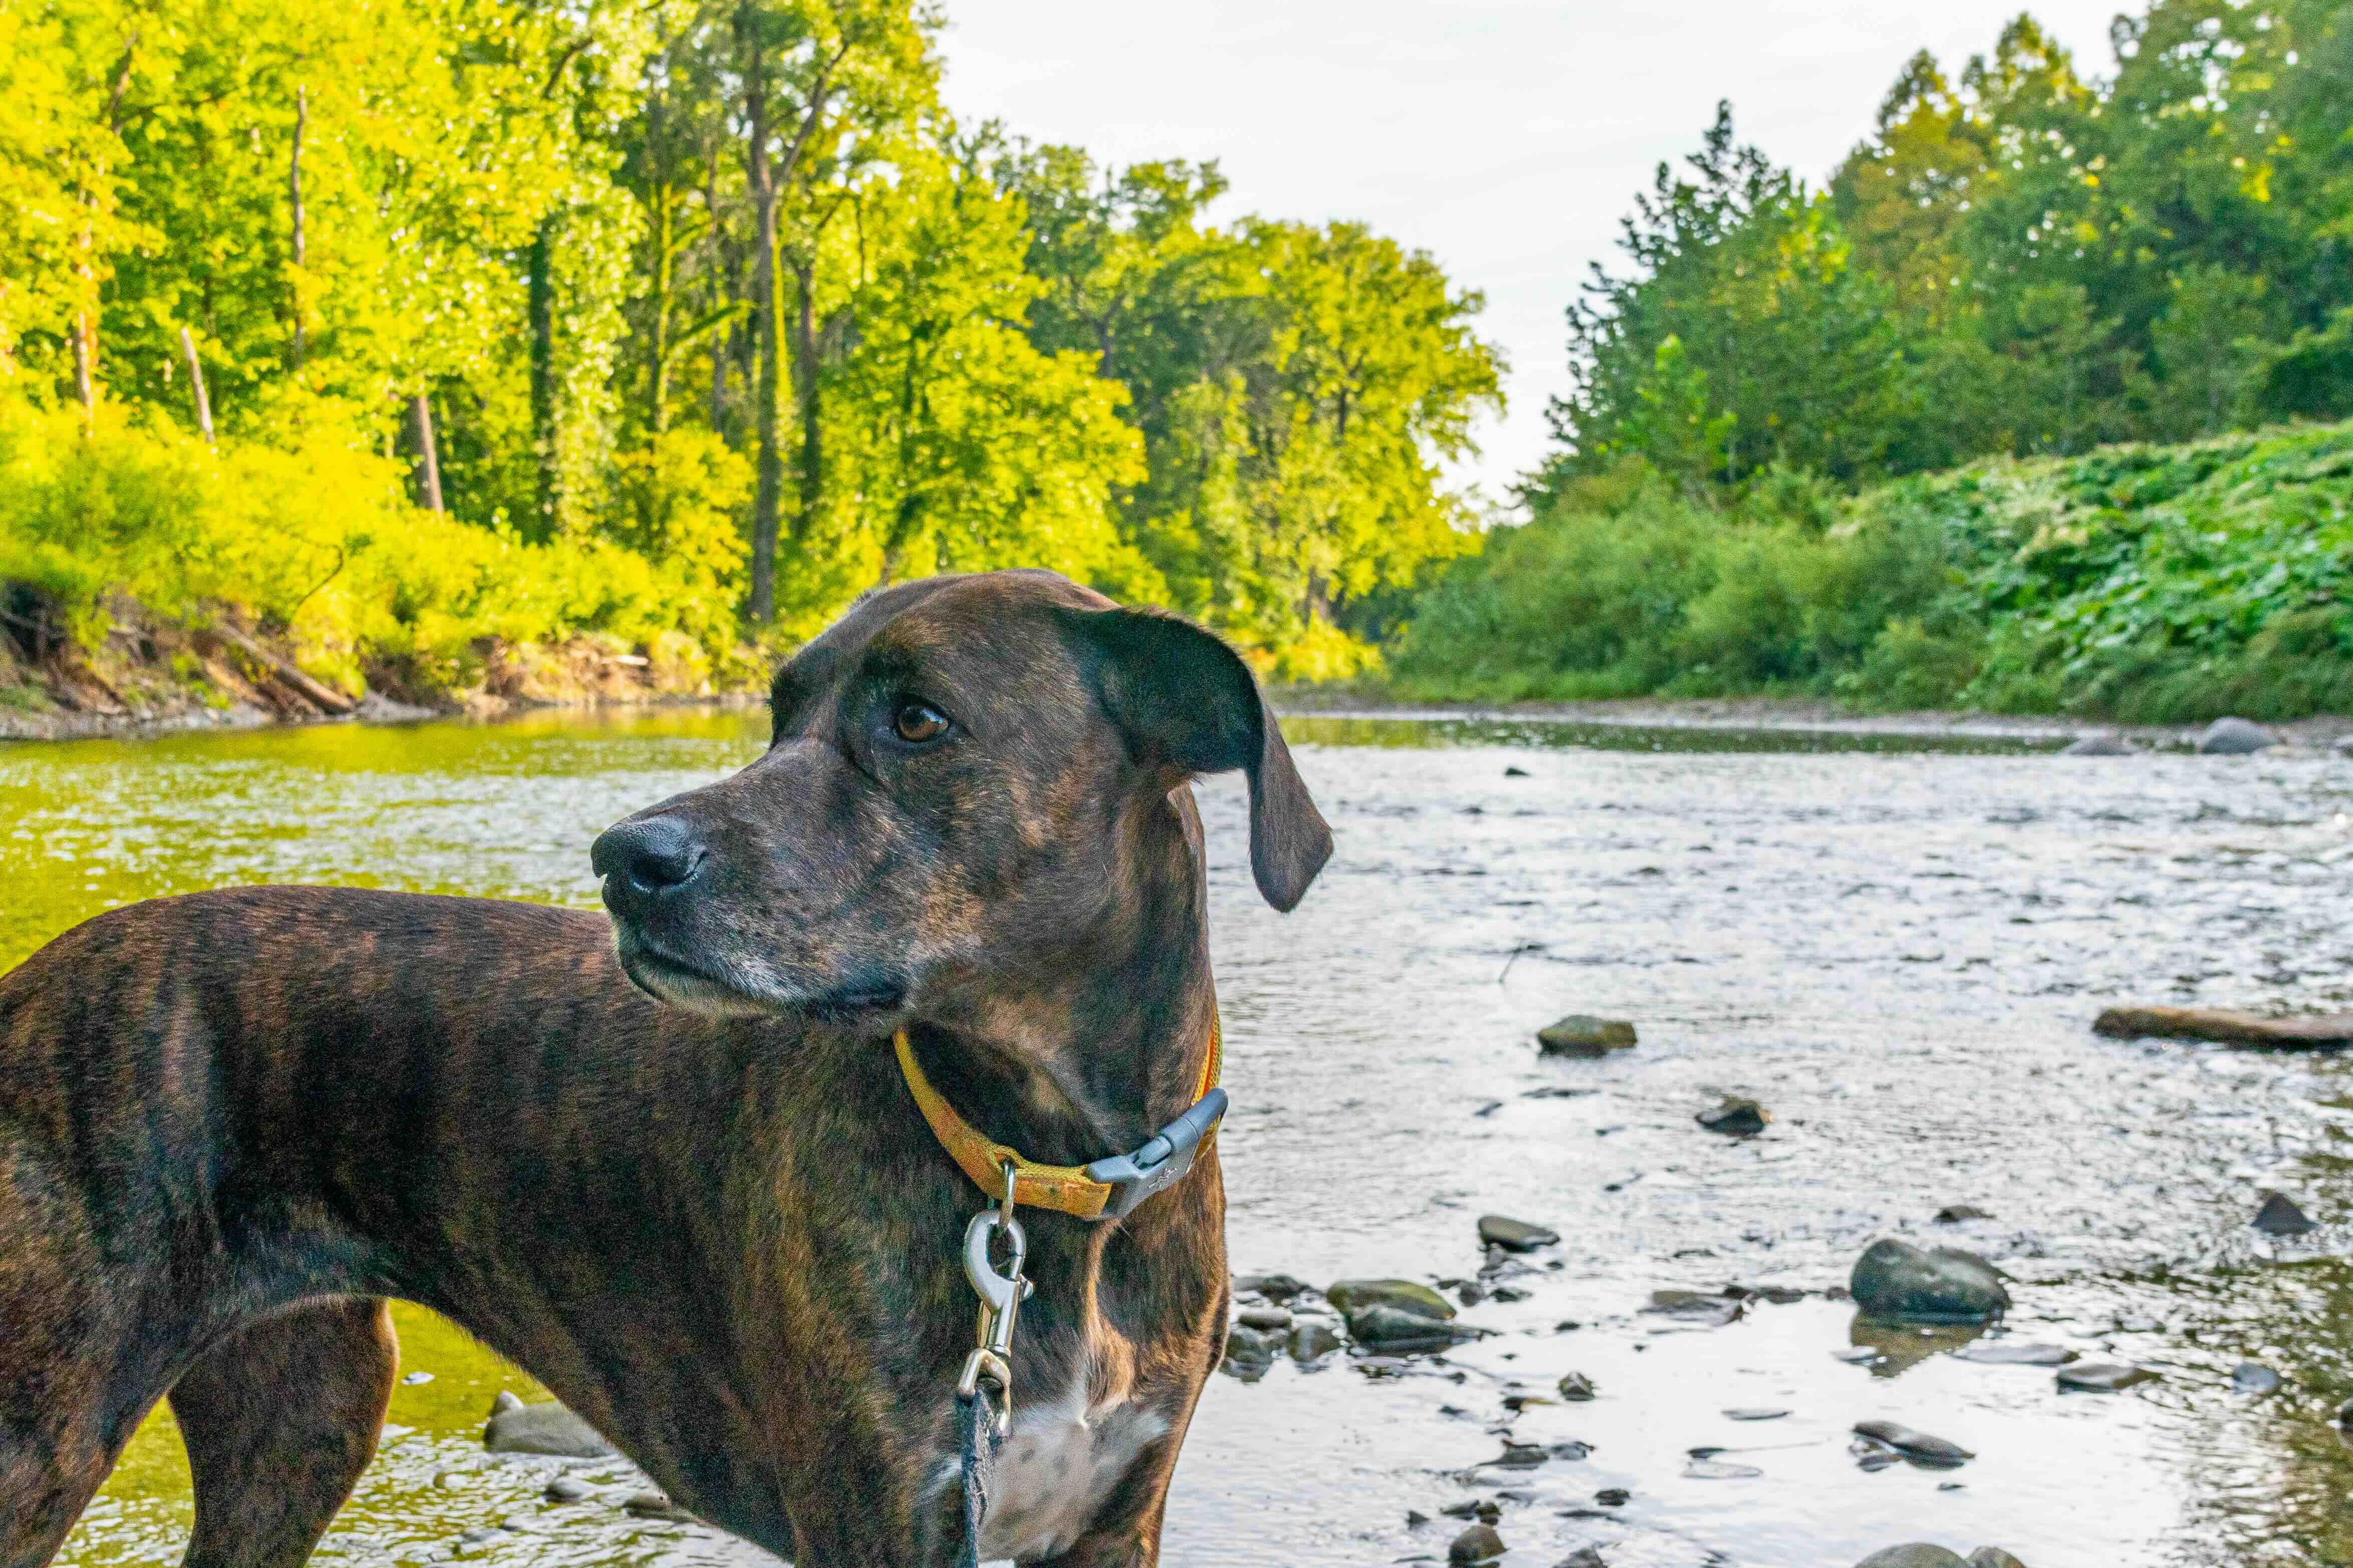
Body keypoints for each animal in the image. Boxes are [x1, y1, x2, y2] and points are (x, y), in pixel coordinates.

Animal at [0, 573, 1327, 1568]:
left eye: (919, 720)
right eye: (782, 711)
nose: (624, 858)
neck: (1041, 1168)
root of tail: (30, 981)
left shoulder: (1114, 1519)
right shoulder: (877, 1519)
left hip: (303, 1416)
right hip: (43, 1434)